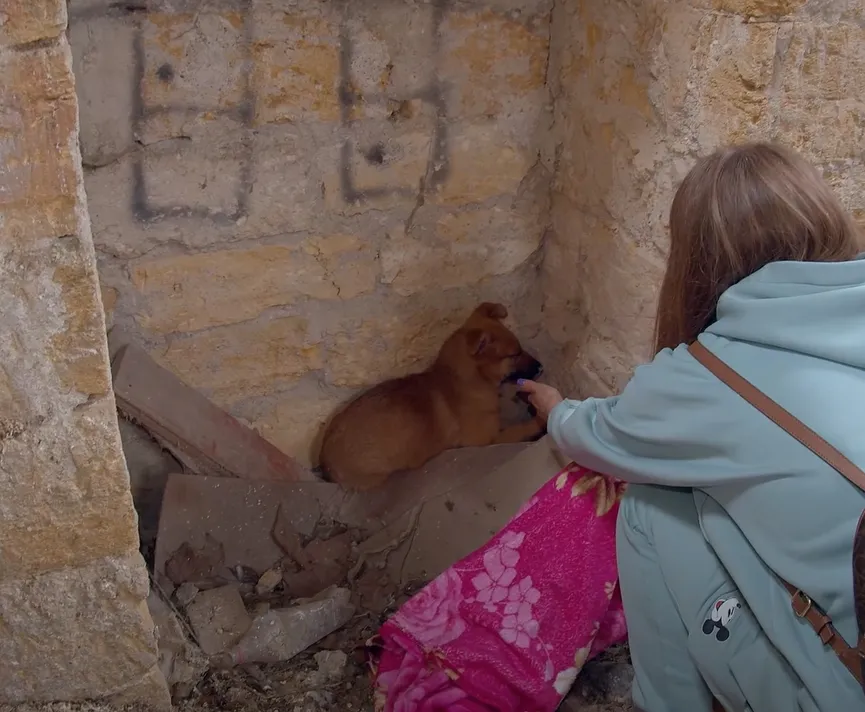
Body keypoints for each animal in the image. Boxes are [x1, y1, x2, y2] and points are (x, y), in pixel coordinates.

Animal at [318, 300, 548, 490]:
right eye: (514, 355)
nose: (541, 366)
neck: (462, 379)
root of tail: (325, 462)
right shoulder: (486, 441)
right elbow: (519, 429)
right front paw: (539, 420)